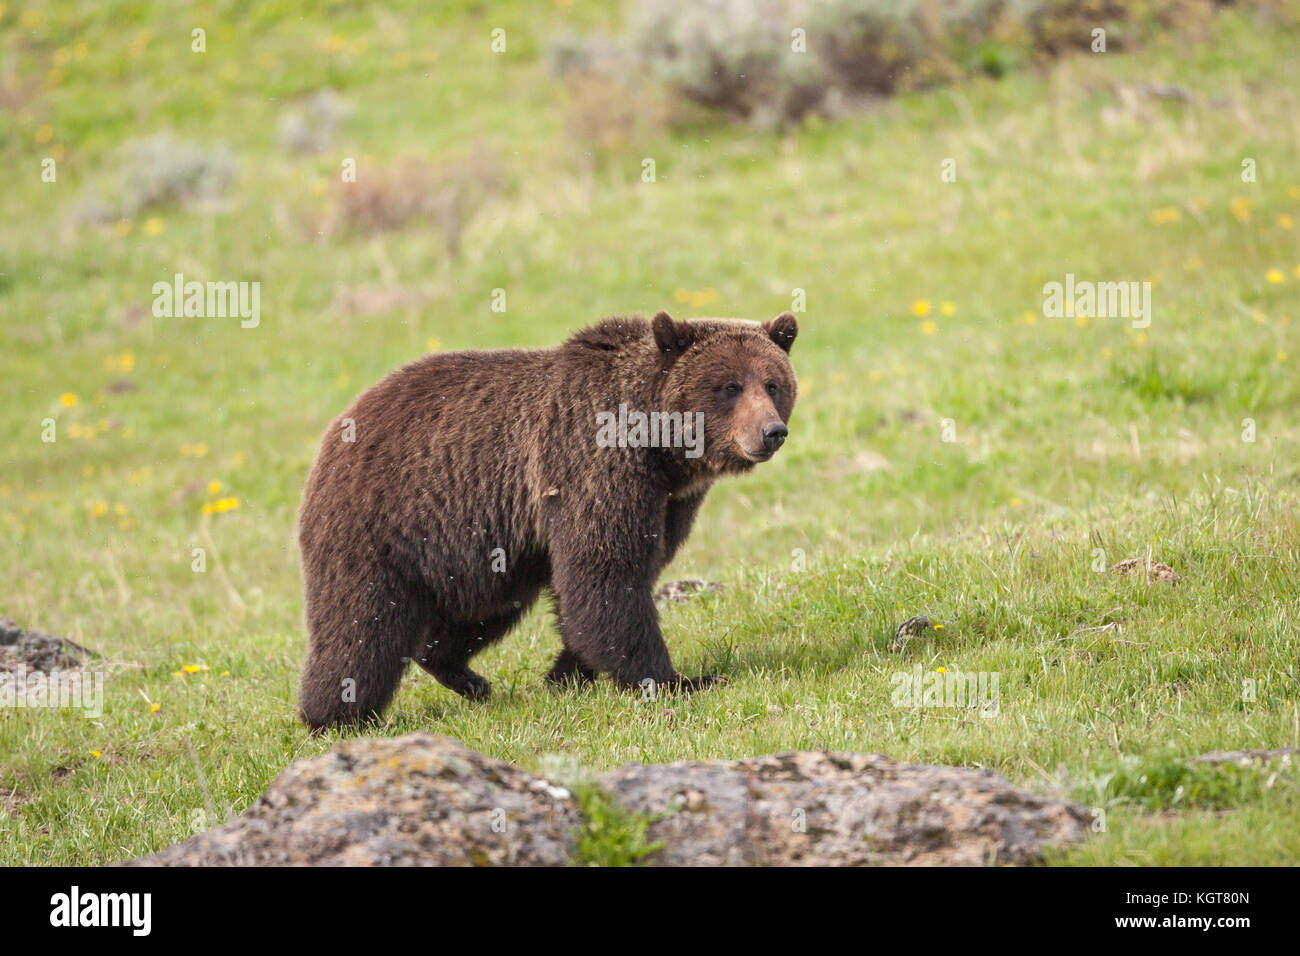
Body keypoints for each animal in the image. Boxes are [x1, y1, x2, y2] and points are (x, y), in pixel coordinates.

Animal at [297, 310, 798, 730]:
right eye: (729, 386)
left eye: (772, 384)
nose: (771, 431)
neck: (659, 448)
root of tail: (339, 426)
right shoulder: (594, 462)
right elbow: (604, 572)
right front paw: (676, 680)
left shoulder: (670, 499)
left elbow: (620, 577)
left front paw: (566, 674)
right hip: (378, 521)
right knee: (361, 625)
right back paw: (335, 717)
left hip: (483, 547)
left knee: (484, 607)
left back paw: (465, 675)